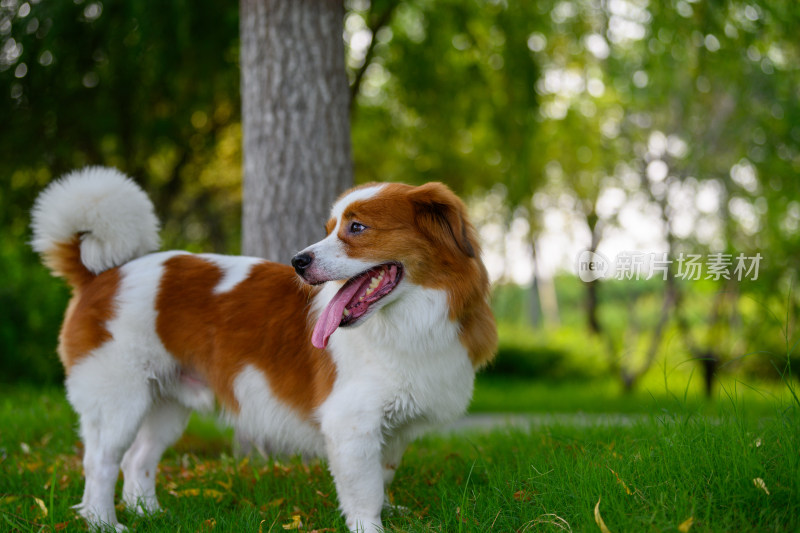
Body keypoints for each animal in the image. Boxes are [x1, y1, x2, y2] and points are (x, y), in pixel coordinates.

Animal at [31, 167, 496, 532]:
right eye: (330, 228)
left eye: (357, 228)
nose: (298, 261)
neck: (413, 316)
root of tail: (102, 276)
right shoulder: (352, 423)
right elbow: (364, 491)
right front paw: (370, 526)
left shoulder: (394, 427)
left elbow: (382, 477)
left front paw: (389, 510)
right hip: (118, 399)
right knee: (101, 463)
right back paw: (104, 523)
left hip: (167, 403)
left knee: (137, 459)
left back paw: (151, 514)